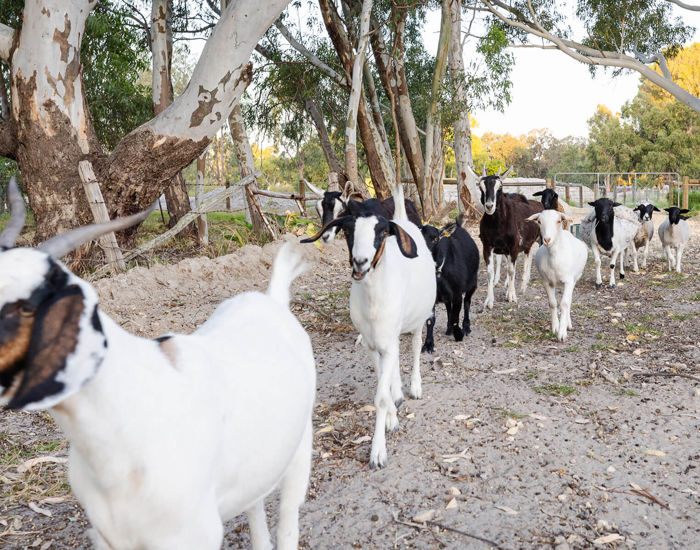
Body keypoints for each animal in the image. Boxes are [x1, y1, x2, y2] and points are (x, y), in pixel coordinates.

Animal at [0, 181, 314, 550]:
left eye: (25, 307)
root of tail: (272, 299)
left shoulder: (194, 535)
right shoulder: (109, 538)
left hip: (300, 447)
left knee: (289, 513)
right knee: (255, 503)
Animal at [300, 185, 432, 470]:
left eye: (381, 233)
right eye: (349, 232)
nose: (360, 261)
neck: (373, 301)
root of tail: (403, 220)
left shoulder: (389, 339)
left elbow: (381, 395)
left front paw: (377, 452)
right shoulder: (373, 344)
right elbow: (383, 384)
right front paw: (392, 417)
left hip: (419, 317)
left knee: (415, 346)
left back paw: (414, 386)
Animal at [528, 210, 588, 340]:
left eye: (558, 221)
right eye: (539, 221)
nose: (547, 240)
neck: (554, 258)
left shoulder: (568, 281)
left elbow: (564, 304)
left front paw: (562, 333)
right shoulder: (546, 282)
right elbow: (553, 303)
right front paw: (555, 328)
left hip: (574, 279)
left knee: (568, 301)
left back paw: (568, 324)